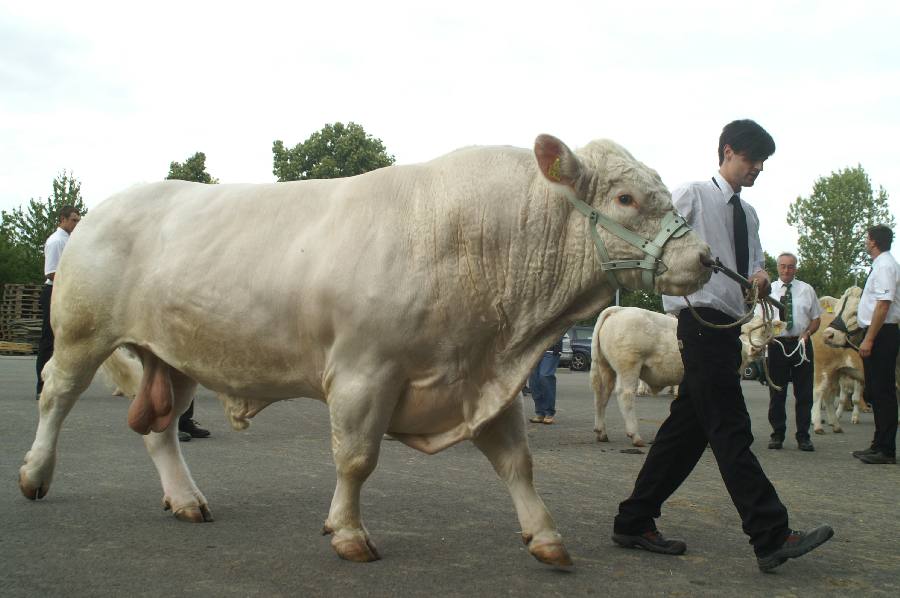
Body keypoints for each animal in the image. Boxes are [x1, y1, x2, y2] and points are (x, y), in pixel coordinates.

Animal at [17, 134, 712, 568]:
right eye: (625, 198)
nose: (704, 257)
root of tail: (109, 204)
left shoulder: (479, 381)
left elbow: (517, 462)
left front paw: (545, 537)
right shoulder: (362, 372)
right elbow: (356, 459)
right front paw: (348, 534)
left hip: (178, 352)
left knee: (160, 430)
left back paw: (186, 500)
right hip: (81, 332)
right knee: (55, 394)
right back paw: (34, 474)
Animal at [592, 310, 772, 446]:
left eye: (764, 332)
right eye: (743, 331)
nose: (756, 349)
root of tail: (619, 309)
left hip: (606, 367)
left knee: (602, 396)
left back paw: (601, 432)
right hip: (629, 366)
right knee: (625, 395)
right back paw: (635, 435)